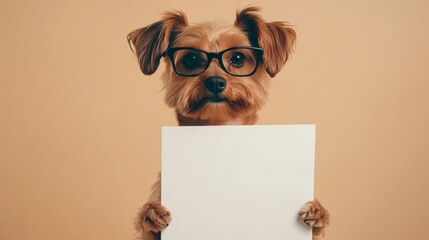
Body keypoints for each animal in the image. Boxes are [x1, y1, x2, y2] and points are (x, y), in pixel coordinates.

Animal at [126, 6, 328, 240]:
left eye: (238, 57)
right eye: (191, 59)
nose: (215, 81)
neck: (219, 127)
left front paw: (317, 211)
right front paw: (151, 213)